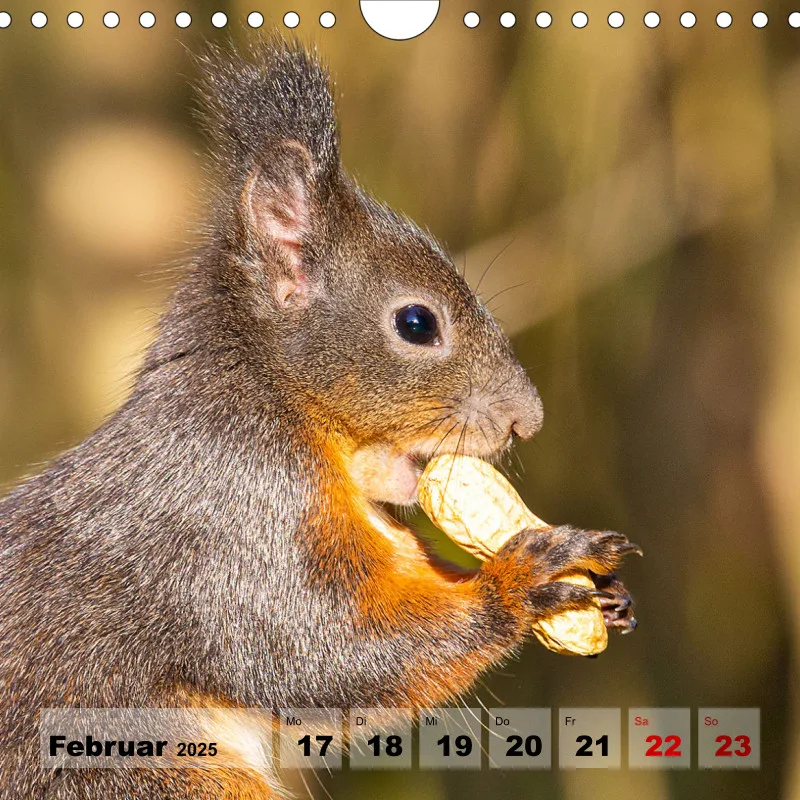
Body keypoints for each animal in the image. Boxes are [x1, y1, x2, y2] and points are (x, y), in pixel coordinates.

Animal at [0, 40, 640, 799]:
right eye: (416, 324)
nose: (528, 421)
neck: (279, 405)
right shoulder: (233, 519)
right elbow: (317, 654)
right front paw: (519, 582)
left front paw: (605, 589)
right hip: (131, 773)